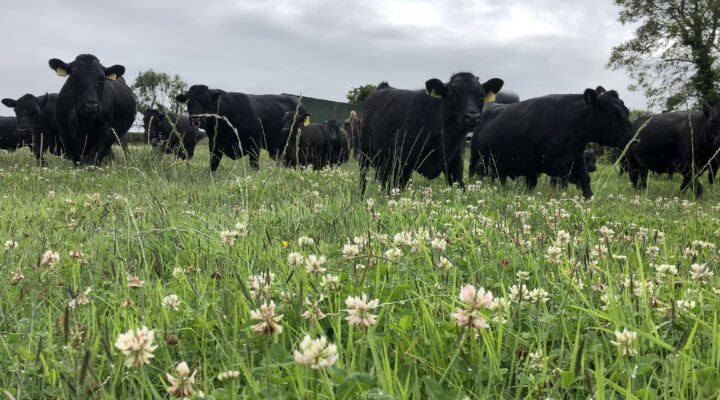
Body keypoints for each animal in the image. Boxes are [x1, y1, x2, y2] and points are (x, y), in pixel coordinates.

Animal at [358, 74, 504, 196]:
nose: (473, 116)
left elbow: (460, 187)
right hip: (365, 152)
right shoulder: (402, 160)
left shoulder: (455, 161)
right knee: (364, 177)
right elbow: (397, 188)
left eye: (481, 96)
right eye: (452, 95)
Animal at [472, 88, 632, 199]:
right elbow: (541, 184)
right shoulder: (537, 165)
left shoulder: (577, 158)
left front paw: (589, 199)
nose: (633, 137)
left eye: (626, 112)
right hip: (476, 158)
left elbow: (586, 180)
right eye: (613, 115)